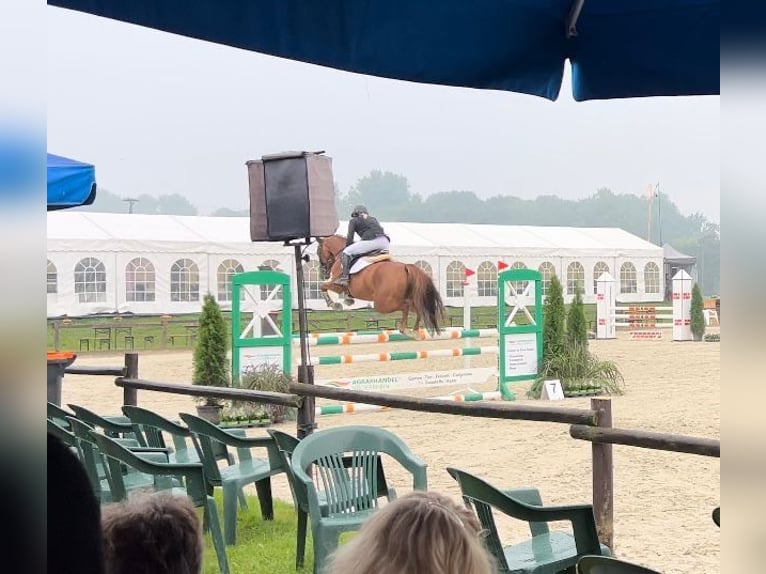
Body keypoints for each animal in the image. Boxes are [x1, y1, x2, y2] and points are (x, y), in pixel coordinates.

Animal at [318, 234, 448, 332]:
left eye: (318, 251)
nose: (323, 272)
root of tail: (406, 267)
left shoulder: (338, 285)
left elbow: (322, 286)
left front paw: (335, 304)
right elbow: (326, 287)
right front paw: (347, 300)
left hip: (382, 303)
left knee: (405, 306)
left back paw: (403, 328)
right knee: (418, 308)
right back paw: (414, 330)